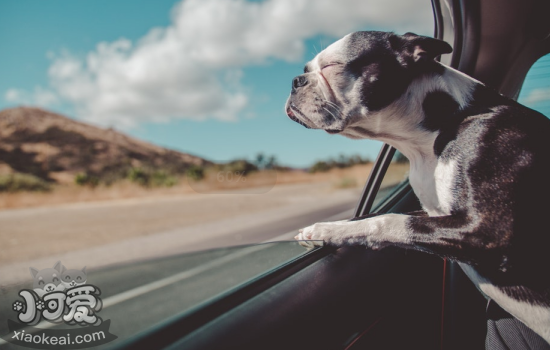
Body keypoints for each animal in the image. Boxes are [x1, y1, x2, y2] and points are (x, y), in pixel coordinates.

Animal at [286, 31, 548, 344]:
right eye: (306, 69)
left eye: (332, 66)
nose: (295, 81)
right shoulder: (434, 214)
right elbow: (369, 217)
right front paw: (325, 229)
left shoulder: (487, 231)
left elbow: (386, 221)